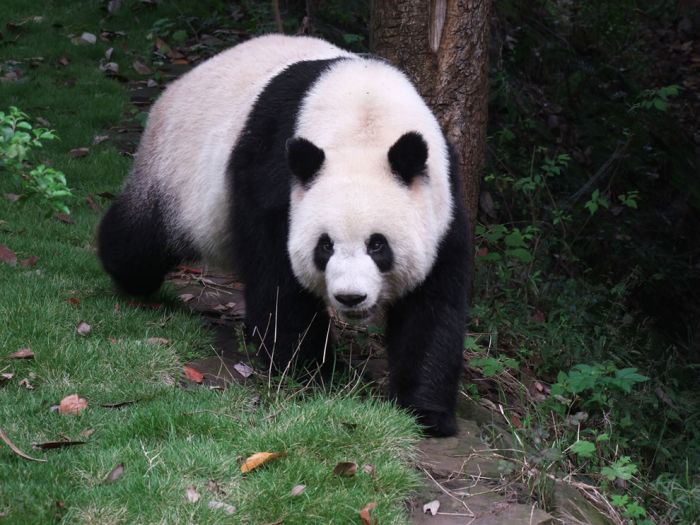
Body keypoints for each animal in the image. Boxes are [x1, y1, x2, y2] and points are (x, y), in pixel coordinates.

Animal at [97, 33, 470, 434]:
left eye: (377, 245)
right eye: (325, 246)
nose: (350, 297)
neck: (365, 117)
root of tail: (176, 86)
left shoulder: (443, 199)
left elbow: (433, 302)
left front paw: (426, 411)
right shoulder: (274, 171)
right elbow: (278, 276)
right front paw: (312, 371)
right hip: (176, 172)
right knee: (141, 240)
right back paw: (124, 272)